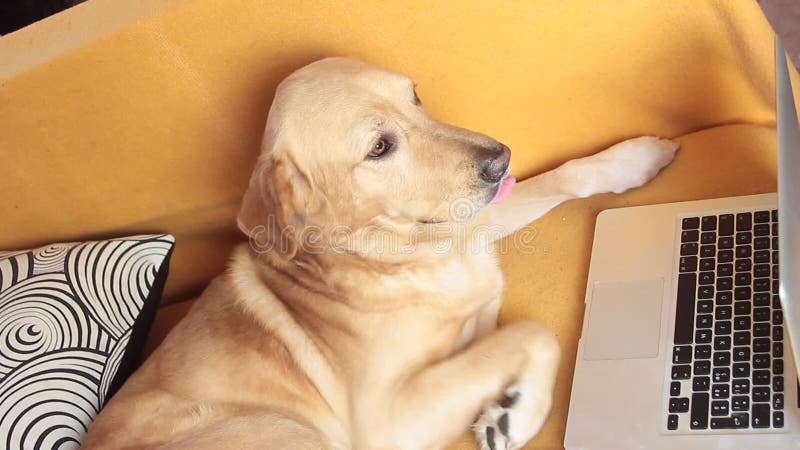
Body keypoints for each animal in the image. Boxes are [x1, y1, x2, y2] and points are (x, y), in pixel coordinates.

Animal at [81, 58, 680, 448]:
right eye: (379, 147)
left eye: (414, 95)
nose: (501, 159)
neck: (395, 256)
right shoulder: (391, 417)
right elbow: (531, 331)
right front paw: (518, 412)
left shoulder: (471, 225)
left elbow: (566, 175)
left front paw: (633, 158)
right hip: (285, 433)